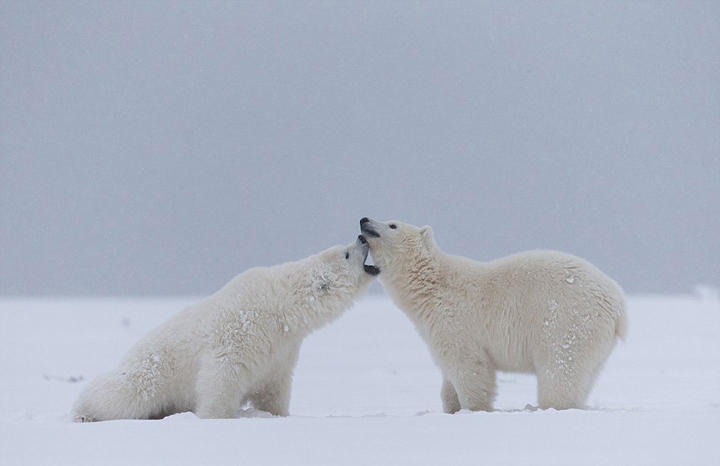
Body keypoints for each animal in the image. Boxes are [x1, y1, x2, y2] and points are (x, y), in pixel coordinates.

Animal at [71, 235, 382, 420]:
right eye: (345, 253)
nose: (361, 236)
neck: (282, 307)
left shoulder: (282, 350)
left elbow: (273, 388)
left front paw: (277, 415)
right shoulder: (240, 330)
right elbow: (222, 377)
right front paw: (217, 418)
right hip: (155, 371)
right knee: (126, 391)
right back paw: (83, 412)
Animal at [358, 218, 624, 412]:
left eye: (392, 224)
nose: (364, 220)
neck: (431, 286)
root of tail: (617, 302)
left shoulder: (455, 318)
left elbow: (468, 366)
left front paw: (474, 409)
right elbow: (448, 375)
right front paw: (451, 407)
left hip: (567, 321)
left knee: (560, 367)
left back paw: (550, 406)